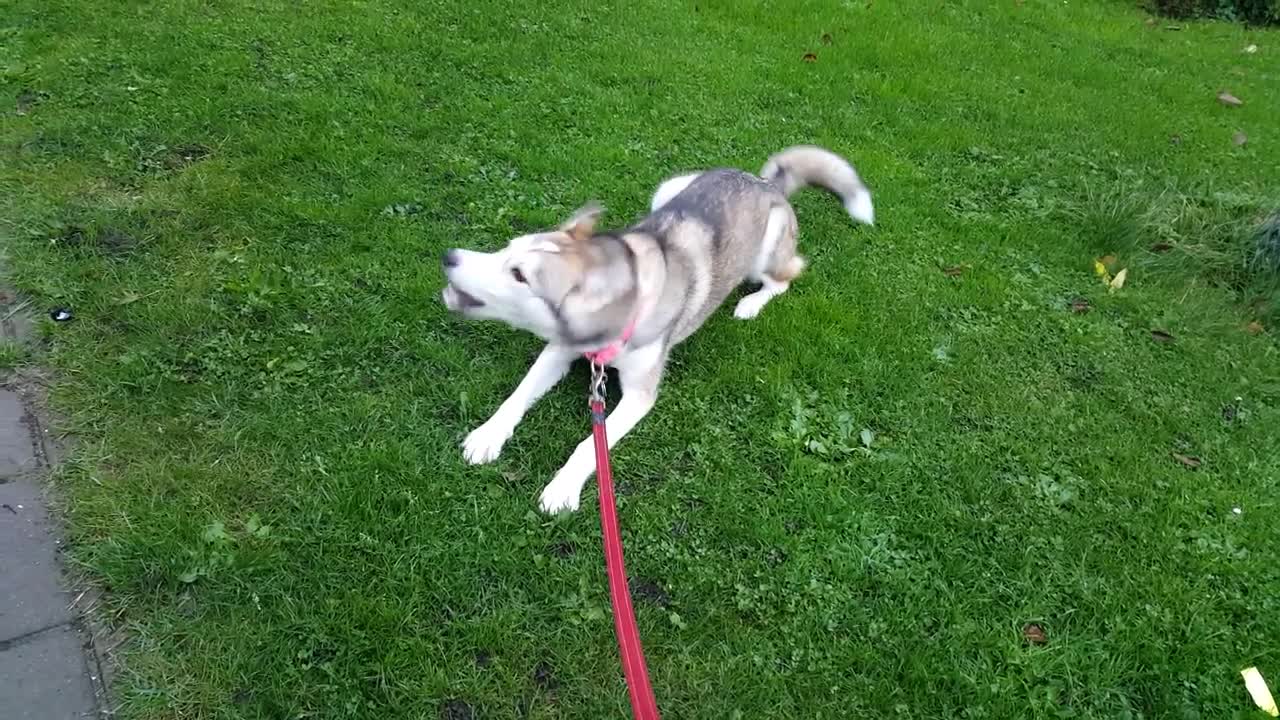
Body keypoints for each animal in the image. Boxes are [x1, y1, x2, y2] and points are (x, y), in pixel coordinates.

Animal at [440, 144, 870, 509]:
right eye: (507, 248)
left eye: (520, 275)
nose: (449, 256)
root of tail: (767, 183)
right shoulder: (560, 349)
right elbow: (518, 395)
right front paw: (488, 435)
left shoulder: (639, 396)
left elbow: (589, 445)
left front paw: (563, 487)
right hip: (670, 187)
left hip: (765, 254)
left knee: (786, 277)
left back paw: (750, 304)